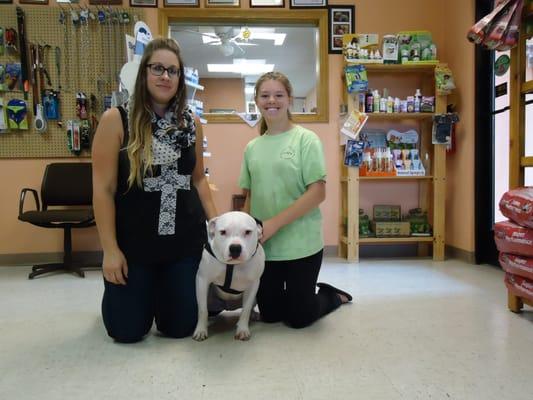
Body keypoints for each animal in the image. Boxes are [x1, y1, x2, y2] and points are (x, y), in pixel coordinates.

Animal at [192, 209, 264, 340]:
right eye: (223, 232)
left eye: (248, 232)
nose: (235, 248)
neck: (233, 265)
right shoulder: (202, 280)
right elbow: (202, 309)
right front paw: (200, 330)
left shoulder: (253, 285)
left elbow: (246, 309)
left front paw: (242, 329)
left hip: (255, 297)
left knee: (249, 307)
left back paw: (254, 315)